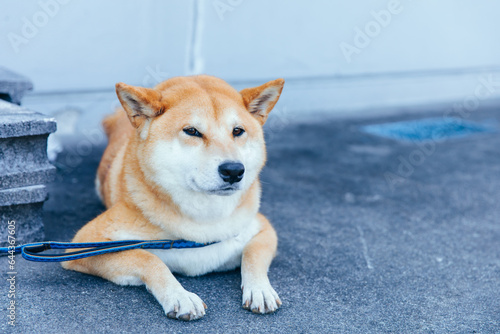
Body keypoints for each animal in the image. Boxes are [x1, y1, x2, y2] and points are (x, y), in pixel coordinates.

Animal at [63, 74, 286, 320]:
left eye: (238, 131)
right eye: (192, 131)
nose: (234, 171)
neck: (204, 220)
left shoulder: (263, 228)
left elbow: (253, 255)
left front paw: (260, 289)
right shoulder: (84, 245)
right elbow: (149, 259)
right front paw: (180, 296)